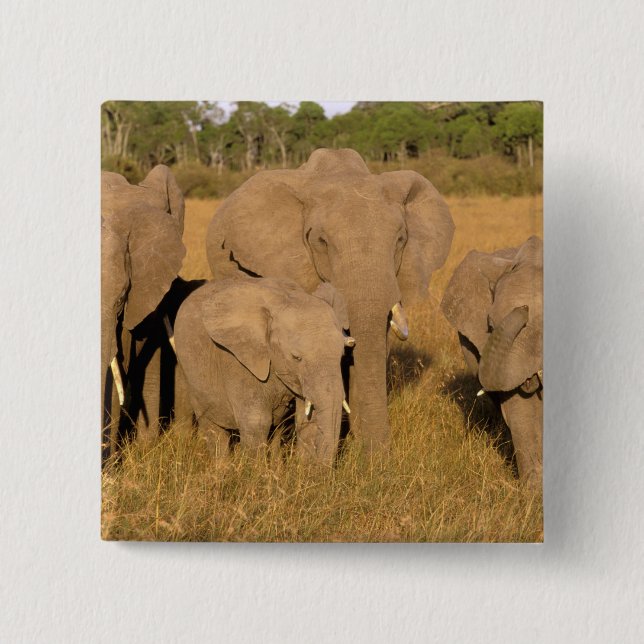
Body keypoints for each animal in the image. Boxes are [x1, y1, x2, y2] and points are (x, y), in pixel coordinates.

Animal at [174, 277, 354, 465]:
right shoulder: (236, 360)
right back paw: (221, 469)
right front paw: (254, 471)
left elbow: (307, 419)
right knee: (212, 428)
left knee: (276, 430)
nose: (323, 468)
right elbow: (257, 422)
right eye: (296, 358)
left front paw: (304, 469)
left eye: (341, 355)